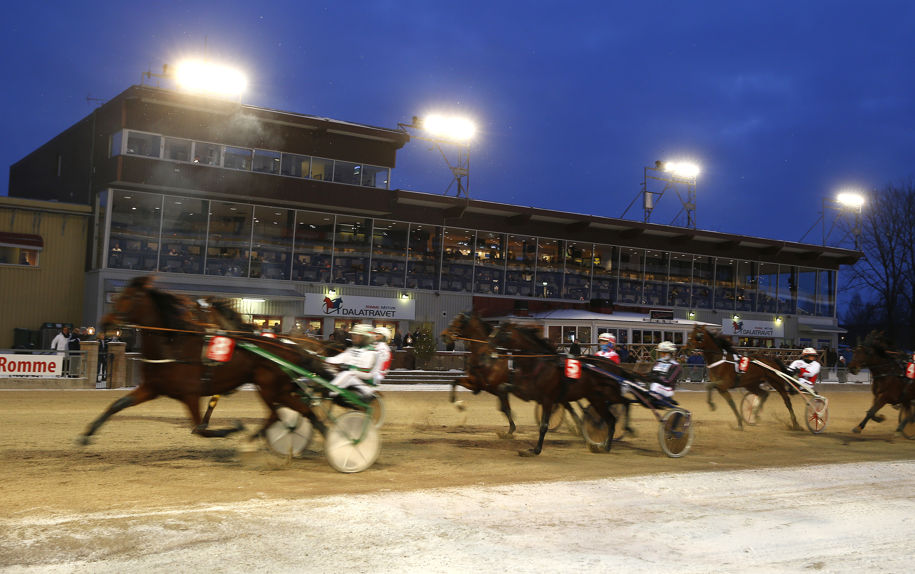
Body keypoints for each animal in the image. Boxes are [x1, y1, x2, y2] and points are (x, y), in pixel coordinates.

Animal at [78, 276, 335, 446]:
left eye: (129, 297)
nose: (106, 322)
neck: (173, 346)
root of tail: (293, 348)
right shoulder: (151, 388)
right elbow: (117, 405)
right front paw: (86, 434)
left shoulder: (191, 395)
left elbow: (200, 428)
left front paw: (232, 428)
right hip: (273, 389)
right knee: (291, 412)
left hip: (272, 388)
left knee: (288, 412)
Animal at [489, 323, 631, 456]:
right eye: (496, 329)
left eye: (504, 333)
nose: (490, 342)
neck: (540, 365)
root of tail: (615, 367)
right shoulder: (528, 392)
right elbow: (502, 388)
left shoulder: (548, 398)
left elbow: (544, 425)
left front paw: (535, 450)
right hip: (596, 399)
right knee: (611, 419)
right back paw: (605, 446)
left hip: (609, 394)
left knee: (625, 403)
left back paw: (621, 431)